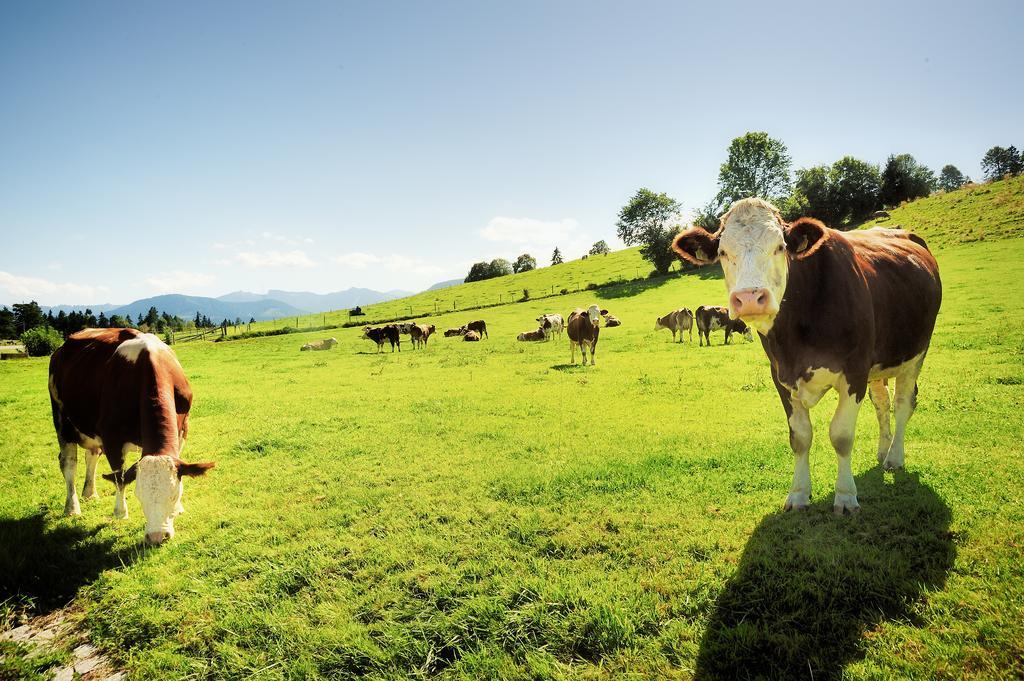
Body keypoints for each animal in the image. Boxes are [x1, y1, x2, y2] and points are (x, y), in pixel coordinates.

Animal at [49, 327, 216, 544]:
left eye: (173, 495)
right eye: (139, 496)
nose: (157, 536)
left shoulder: (183, 428)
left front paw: (179, 509)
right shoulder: (111, 436)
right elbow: (119, 477)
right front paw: (120, 512)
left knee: (91, 456)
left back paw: (90, 493)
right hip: (61, 418)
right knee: (69, 463)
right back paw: (72, 507)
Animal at [671, 199, 942, 512]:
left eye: (779, 246)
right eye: (724, 252)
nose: (750, 298)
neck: (795, 338)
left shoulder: (855, 372)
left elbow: (841, 436)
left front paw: (845, 496)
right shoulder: (780, 376)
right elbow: (800, 437)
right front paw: (799, 494)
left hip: (916, 352)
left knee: (902, 403)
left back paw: (895, 457)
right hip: (880, 363)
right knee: (882, 403)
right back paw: (883, 451)